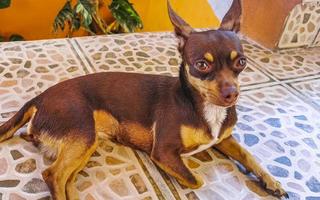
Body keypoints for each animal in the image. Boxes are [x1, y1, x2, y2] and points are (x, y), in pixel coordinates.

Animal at [0, 0, 288, 199]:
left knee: (66, 178)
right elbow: (197, 180)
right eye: (201, 65)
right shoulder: (163, 152)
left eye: (241, 62)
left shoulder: (224, 139)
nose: (231, 94)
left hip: (86, 143)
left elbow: (249, 155)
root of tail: (39, 97)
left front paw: (272, 182)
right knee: (53, 175)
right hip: (82, 132)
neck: (202, 106)